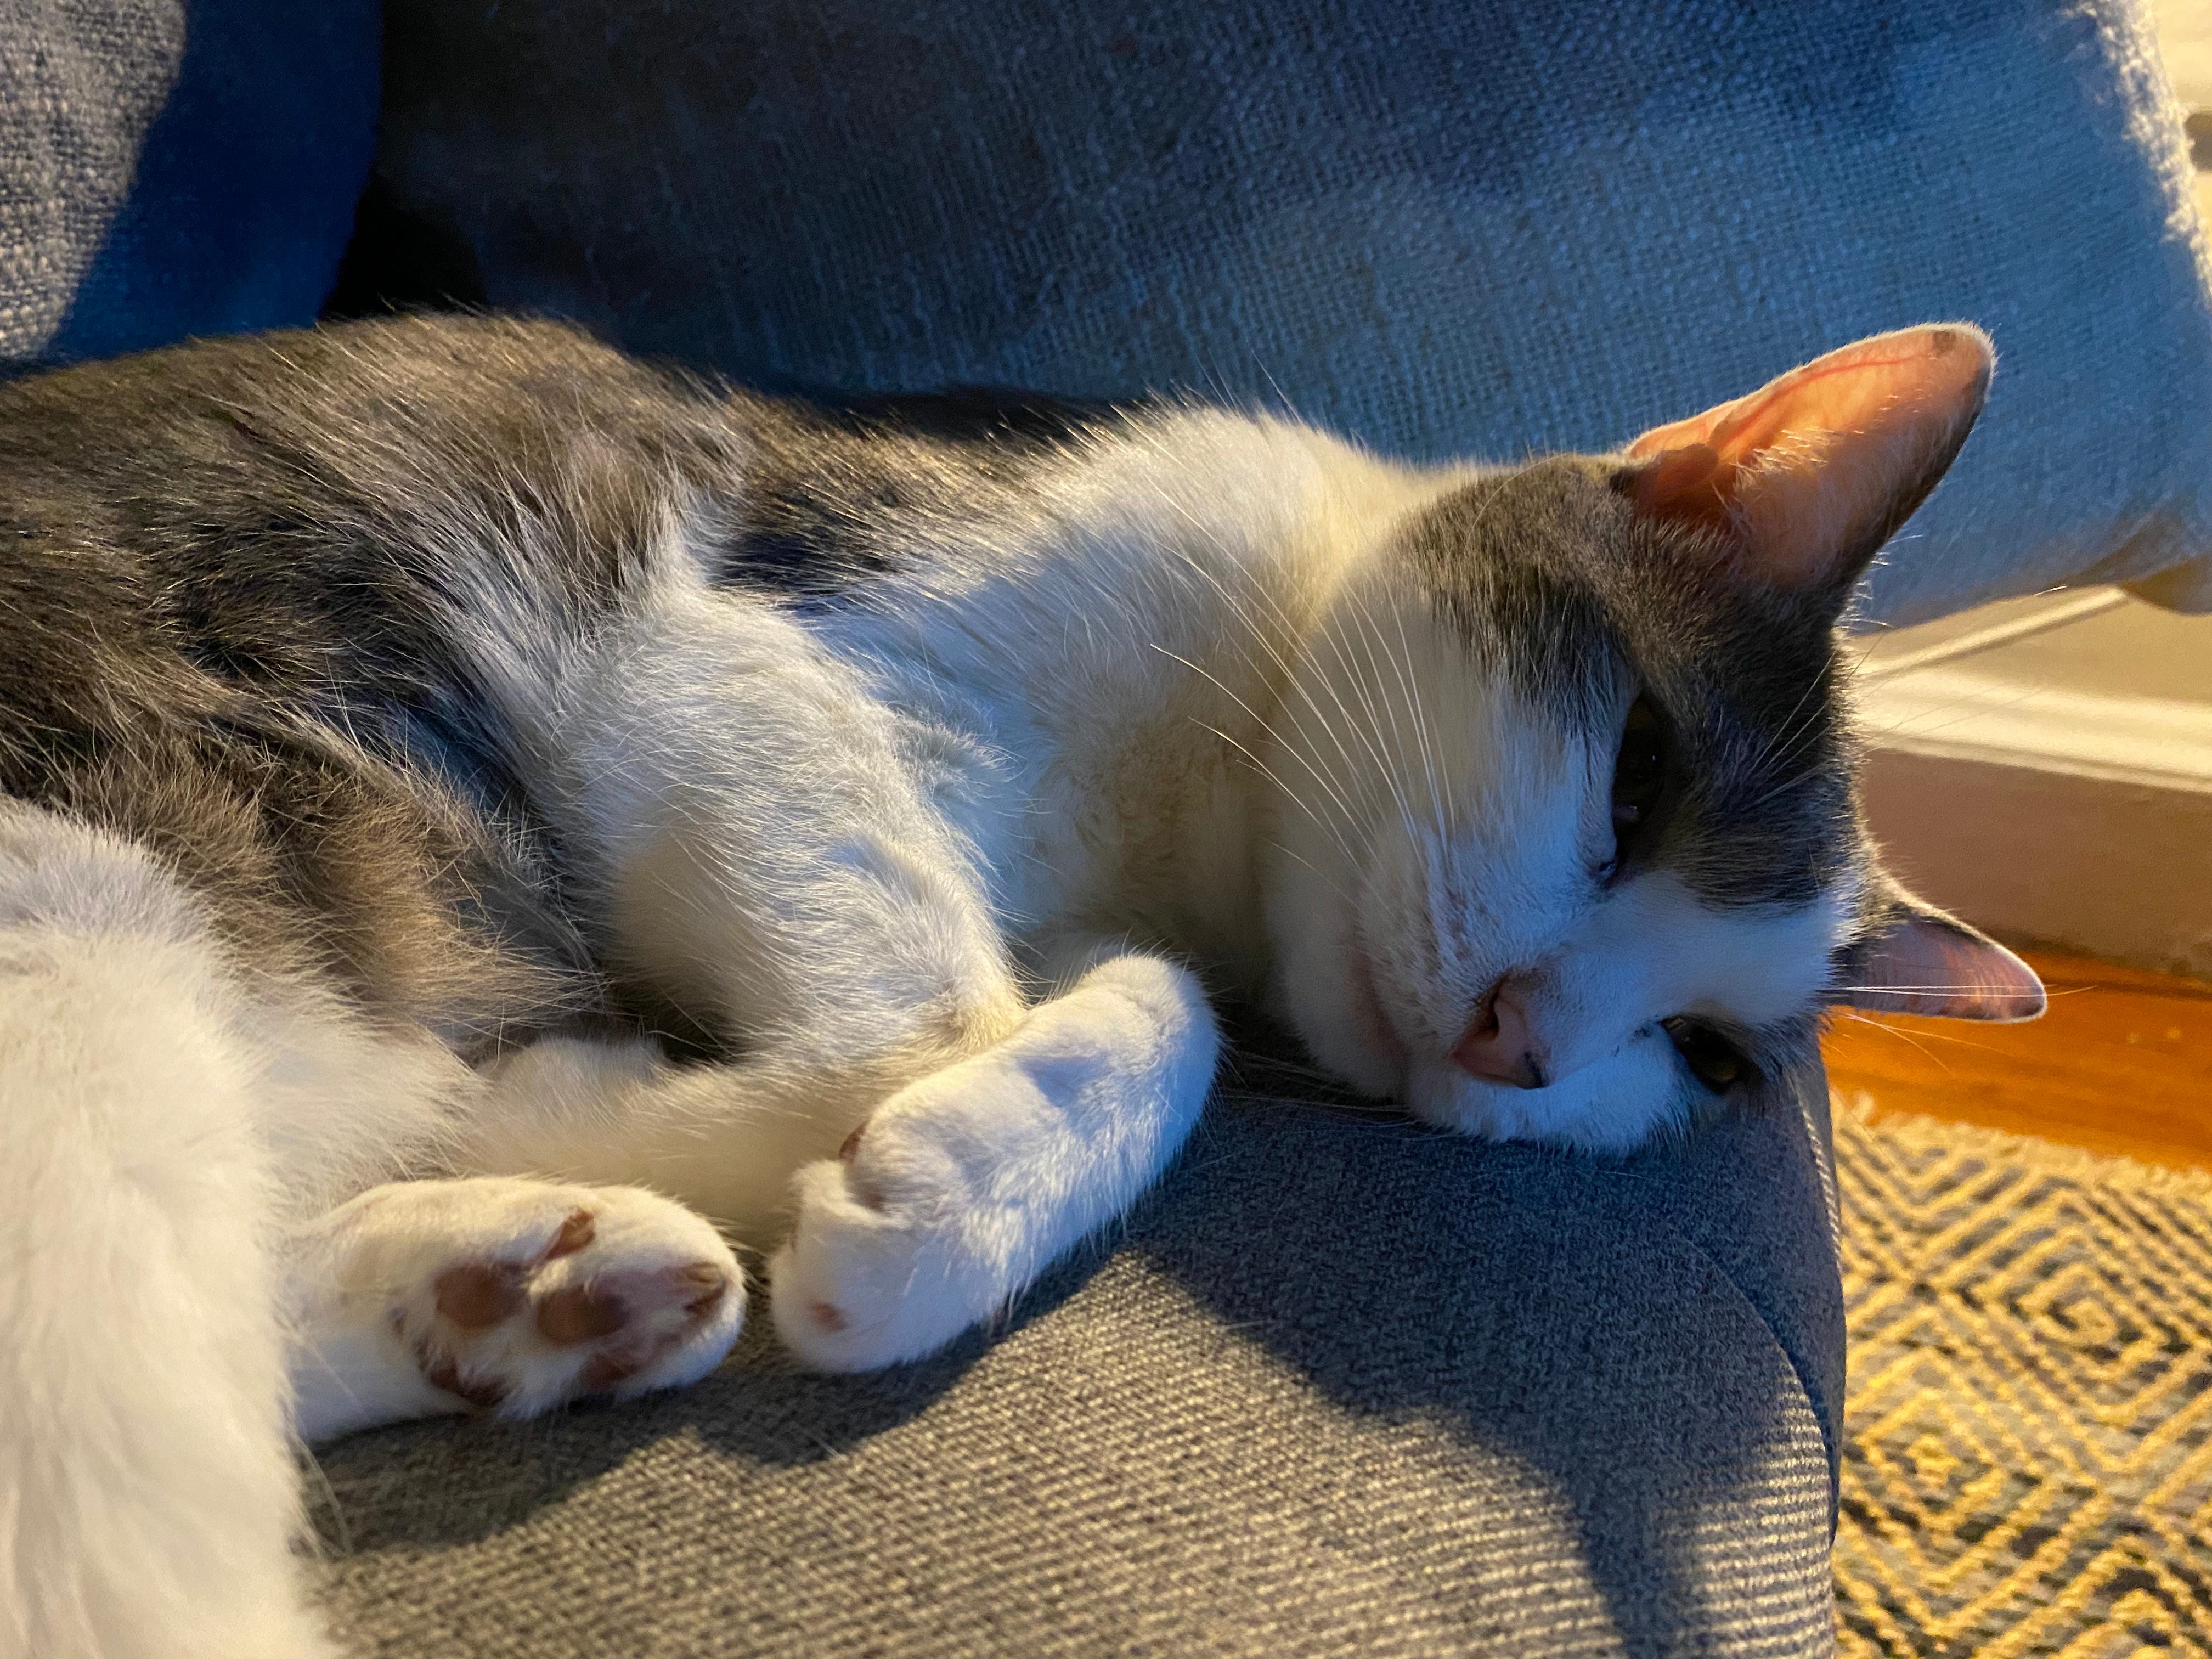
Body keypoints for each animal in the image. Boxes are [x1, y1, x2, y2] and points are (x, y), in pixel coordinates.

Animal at [0, 318, 2035, 1654]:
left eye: (1692, 1055)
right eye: (1635, 783)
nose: (1521, 1043)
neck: (1197, 801)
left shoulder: (1118, 929)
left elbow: (1158, 1012)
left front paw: (939, 1200)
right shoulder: (685, 618)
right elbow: (932, 1005)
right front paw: (547, 1095)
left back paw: (518, 1292)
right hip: (95, 893)